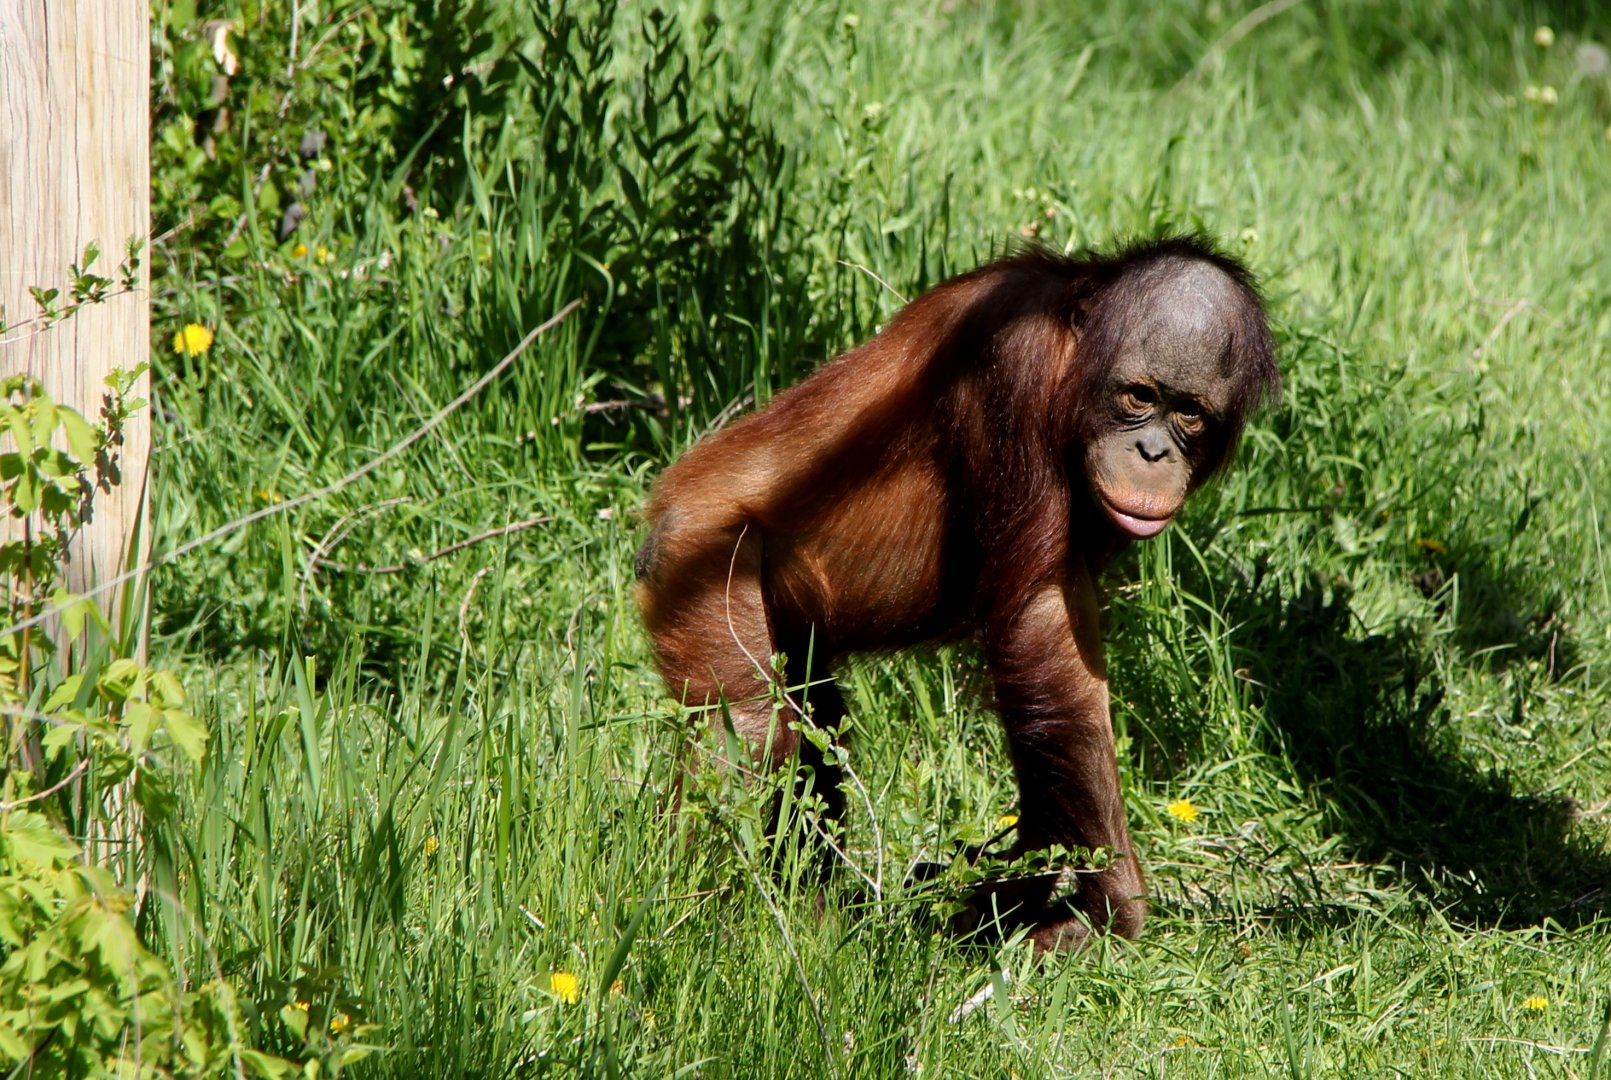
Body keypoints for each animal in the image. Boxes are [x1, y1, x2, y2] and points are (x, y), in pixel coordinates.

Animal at [635, 235, 1278, 951]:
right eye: (1140, 396)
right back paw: (706, 910)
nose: (1153, 451)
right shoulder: (1013, 367)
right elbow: (1040, 629)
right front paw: (1111, 902)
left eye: (1190, 413)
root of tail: (666, 500)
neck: (1070, 356)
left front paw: (1014, 892)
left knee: (813, 722)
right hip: (701, 564)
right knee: (750, 727)